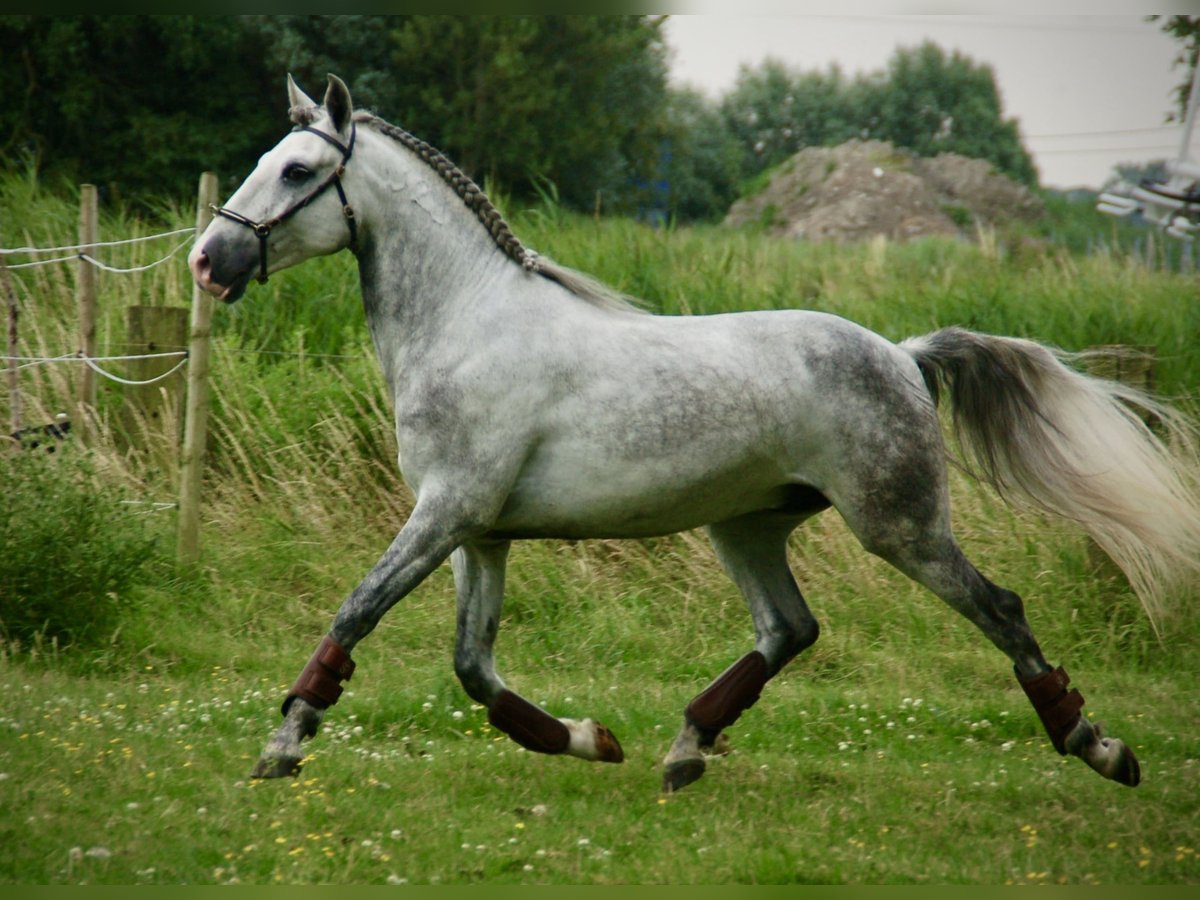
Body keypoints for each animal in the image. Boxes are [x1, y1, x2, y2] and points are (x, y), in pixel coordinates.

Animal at [189, 79, 1200, 796]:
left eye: (295, 172)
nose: (208, 259)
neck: (467, 323)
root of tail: (905, 356)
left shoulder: (446, 514)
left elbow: (355, 613)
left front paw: (282, 745)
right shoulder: (481, 533)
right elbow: (474, 669)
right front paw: (592, 741)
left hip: (900, 526)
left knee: (1000, 609)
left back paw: (1100, 748)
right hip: (748, 526)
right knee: (790, 628)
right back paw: (683, 750)